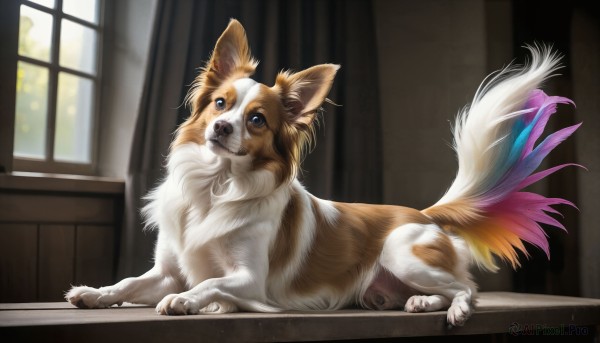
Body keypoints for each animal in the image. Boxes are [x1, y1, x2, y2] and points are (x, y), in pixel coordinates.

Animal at [68, 19, 580, 328]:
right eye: (219, 103)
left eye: (257, 119)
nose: (220, 127)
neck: (217, 186)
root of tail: (424, 213)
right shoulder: (167, 270)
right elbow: (129, 283)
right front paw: (94, 292)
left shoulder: (250, 280)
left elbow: (208, 283)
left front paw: (188, 301)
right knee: (435, 290)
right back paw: (418, 302)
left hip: (401, 251)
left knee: (466, 289)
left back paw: (453, 310)